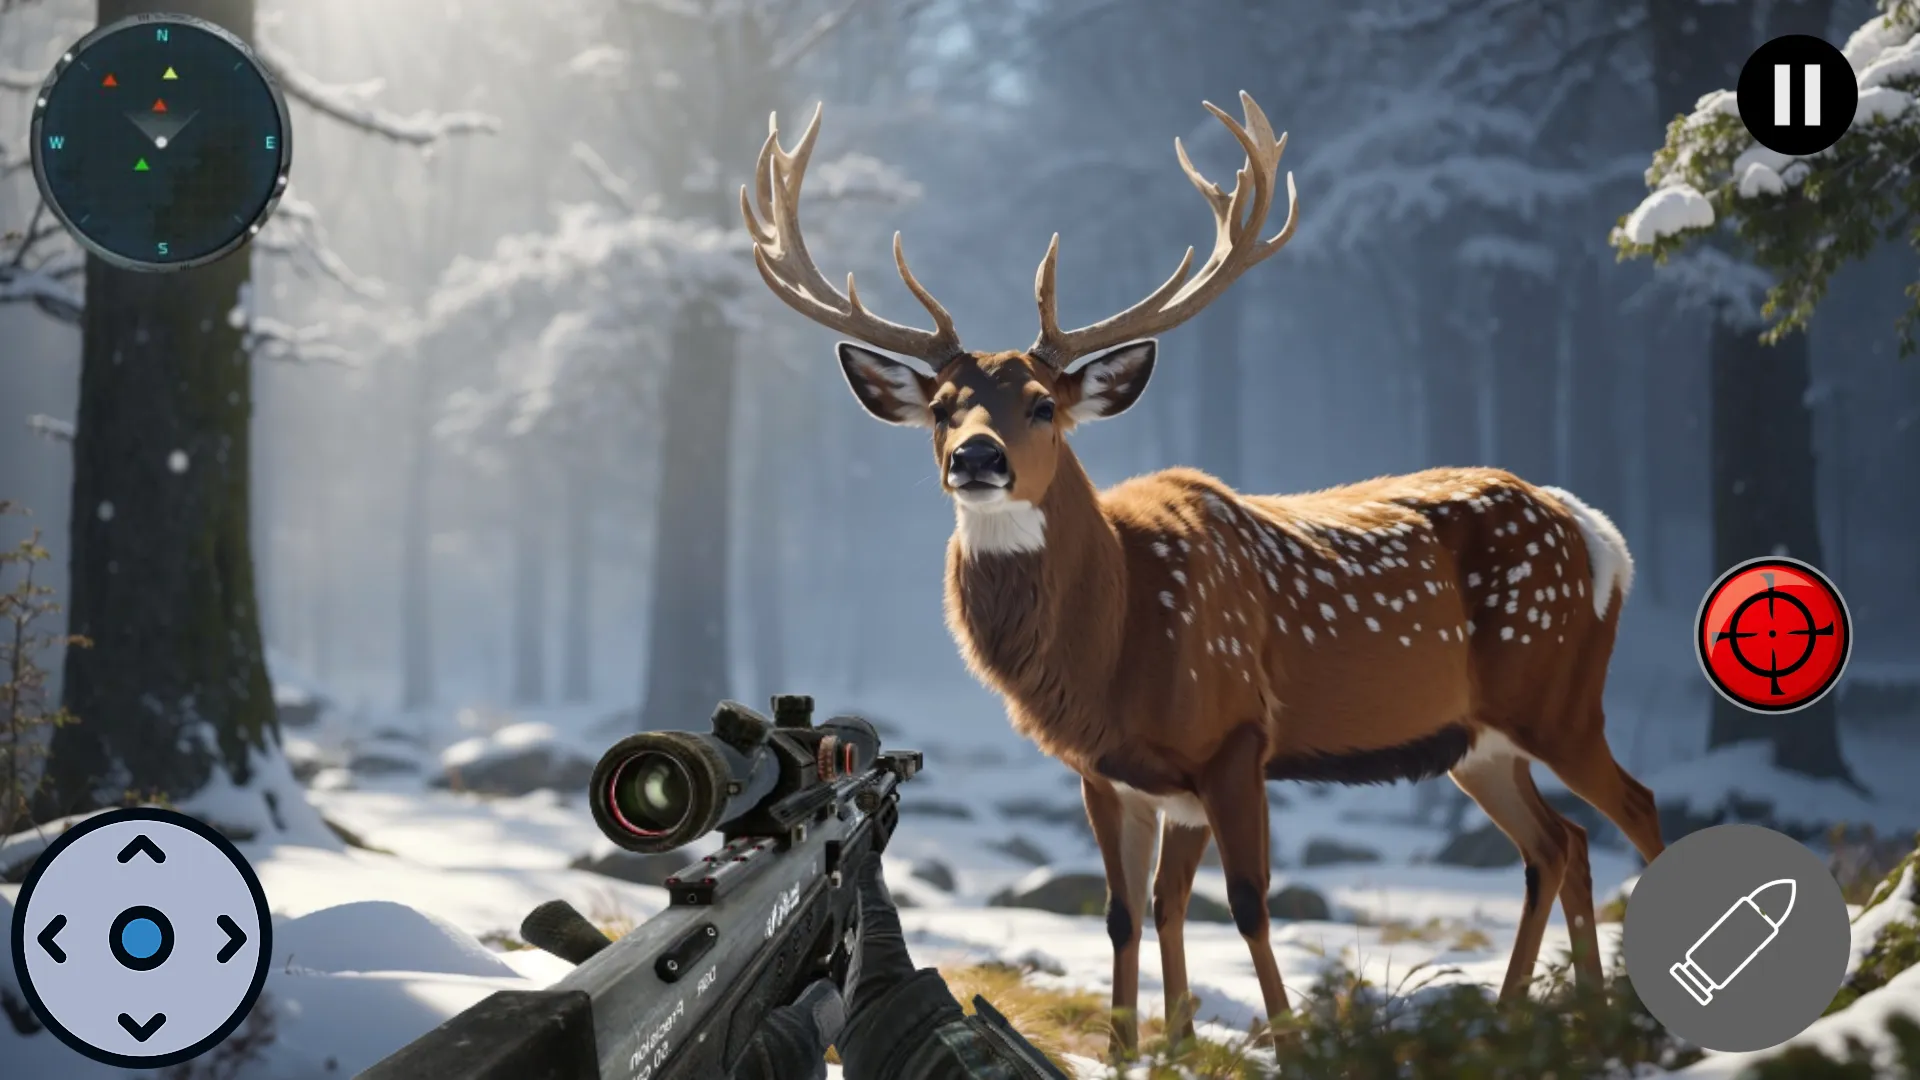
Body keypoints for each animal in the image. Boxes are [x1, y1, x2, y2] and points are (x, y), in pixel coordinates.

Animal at [741, 91, 1667, 1057]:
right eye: (941, 410)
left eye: (1042, 405)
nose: (977, 458)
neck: (1117, 642)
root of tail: (1599, 535)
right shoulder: (1118, 774)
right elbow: (1136, 910)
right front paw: (1145, 1049)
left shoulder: (1234, 736)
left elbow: (1249, 905)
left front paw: (1289, 1045)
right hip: (1478, 741)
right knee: (1558, 844)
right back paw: (1544, 1019)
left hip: (1557, 693)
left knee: (1635, 809)